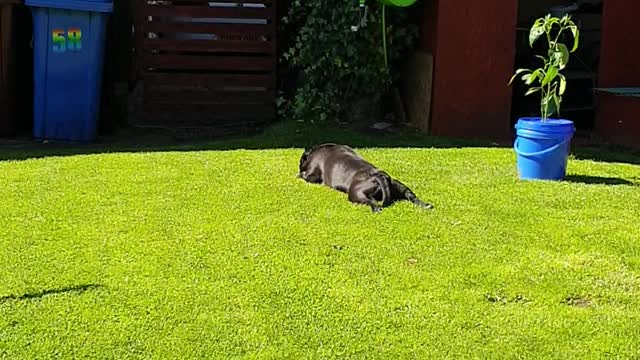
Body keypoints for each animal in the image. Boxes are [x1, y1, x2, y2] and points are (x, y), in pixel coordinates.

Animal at [298, 143, 432, 212]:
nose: (299, 168)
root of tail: (379, 176)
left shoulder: (312, 174)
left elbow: (305, 175)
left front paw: (299, 174)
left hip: (355, 193)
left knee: (372, 202)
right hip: (398, 185)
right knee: (410, 195)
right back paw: (426, 205)